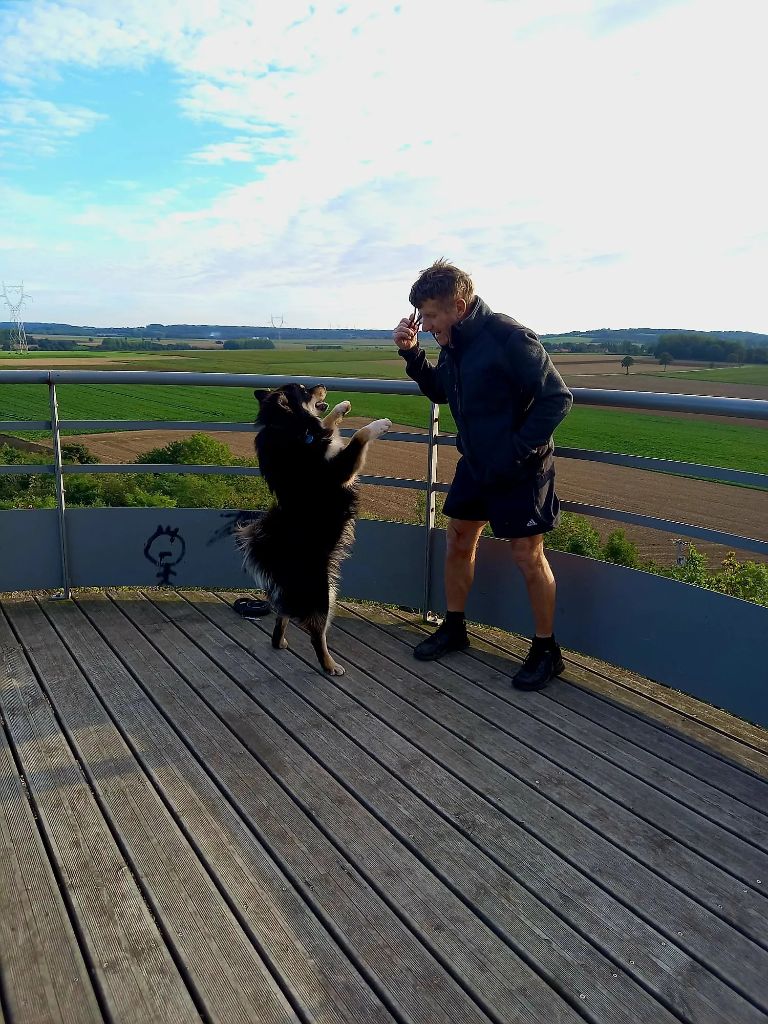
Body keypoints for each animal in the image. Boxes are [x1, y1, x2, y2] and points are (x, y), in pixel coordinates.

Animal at [236, 380, 393, 675]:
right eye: (305, 390)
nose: (321, 384)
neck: (289, 427)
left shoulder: (328, 443)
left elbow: (329, 425)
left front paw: (342, 407)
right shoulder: (340, 470)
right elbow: (359, 436)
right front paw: (380, 424)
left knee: (283, 614)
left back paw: (280, 642)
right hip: (323, 594)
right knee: (315, 633)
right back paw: (330, 665)